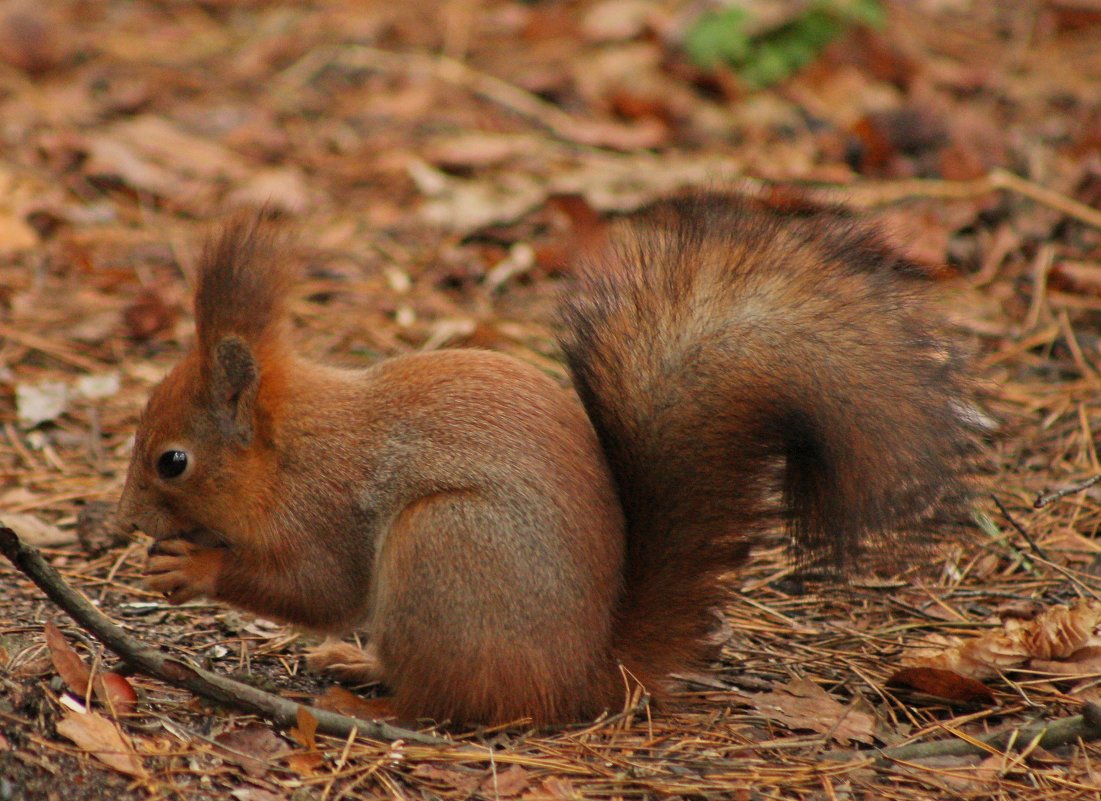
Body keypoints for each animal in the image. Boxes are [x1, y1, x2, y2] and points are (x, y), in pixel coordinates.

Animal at [116, 195, 977, 726]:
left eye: (172, 461)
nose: (123, 518)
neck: (290, 445)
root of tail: (580, 677)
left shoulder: (327, 506)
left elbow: (318, 584)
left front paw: (193, 567)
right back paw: (354, 665)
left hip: (444, 547)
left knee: (447, 703)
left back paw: (367, 704)